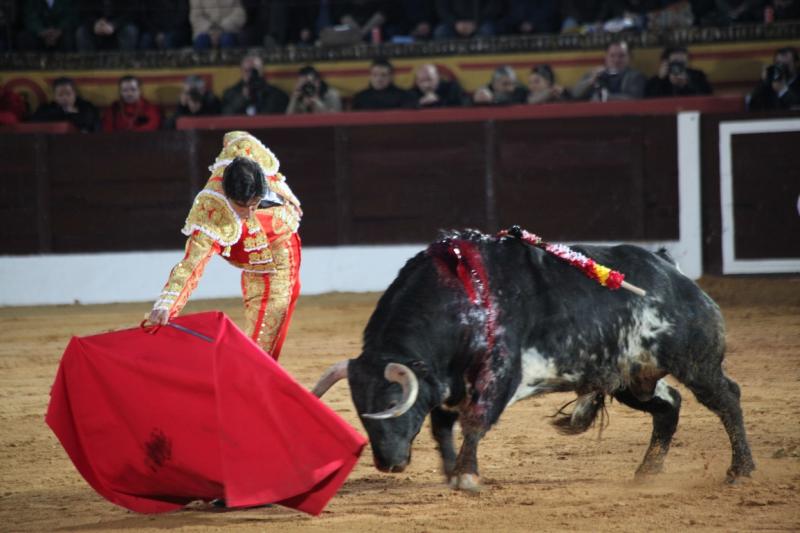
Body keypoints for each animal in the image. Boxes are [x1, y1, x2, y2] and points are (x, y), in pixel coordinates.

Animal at [312, 230, 756, 490]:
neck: (461, 302)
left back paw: (740, 471)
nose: (389, 463)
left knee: (727, 398)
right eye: (359, 411)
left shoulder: (498, 377)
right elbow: (442, 428)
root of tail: (670, 268)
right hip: (631, 378)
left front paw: (467, 476)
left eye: (392, 402)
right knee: (668, 406)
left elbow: (474, 424)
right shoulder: (449, 386)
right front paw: (452, 472)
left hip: (696, 363)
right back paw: (646, 473)